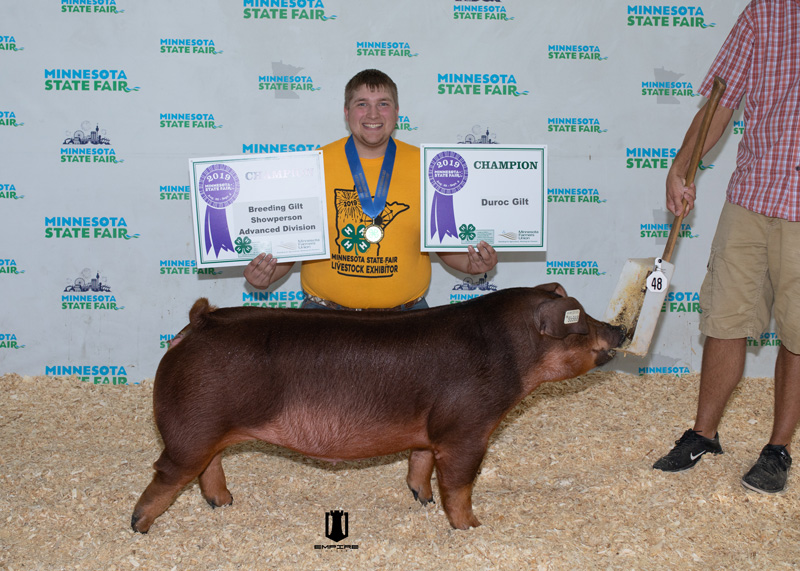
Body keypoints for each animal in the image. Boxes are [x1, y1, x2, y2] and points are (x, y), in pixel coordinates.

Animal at [131, 284, 628, 536]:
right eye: (582, 324)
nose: (620, 330)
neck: (511, 352)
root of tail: (198, 323)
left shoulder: (432, 431)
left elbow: (420, 462)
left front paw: (421, 499)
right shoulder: (467, 430)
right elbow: (460, 484)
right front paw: (471, 527)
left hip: (209, 430)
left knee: (209, 466)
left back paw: (225, 503)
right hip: (191, 428)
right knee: (167, 473)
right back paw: (138, 527)